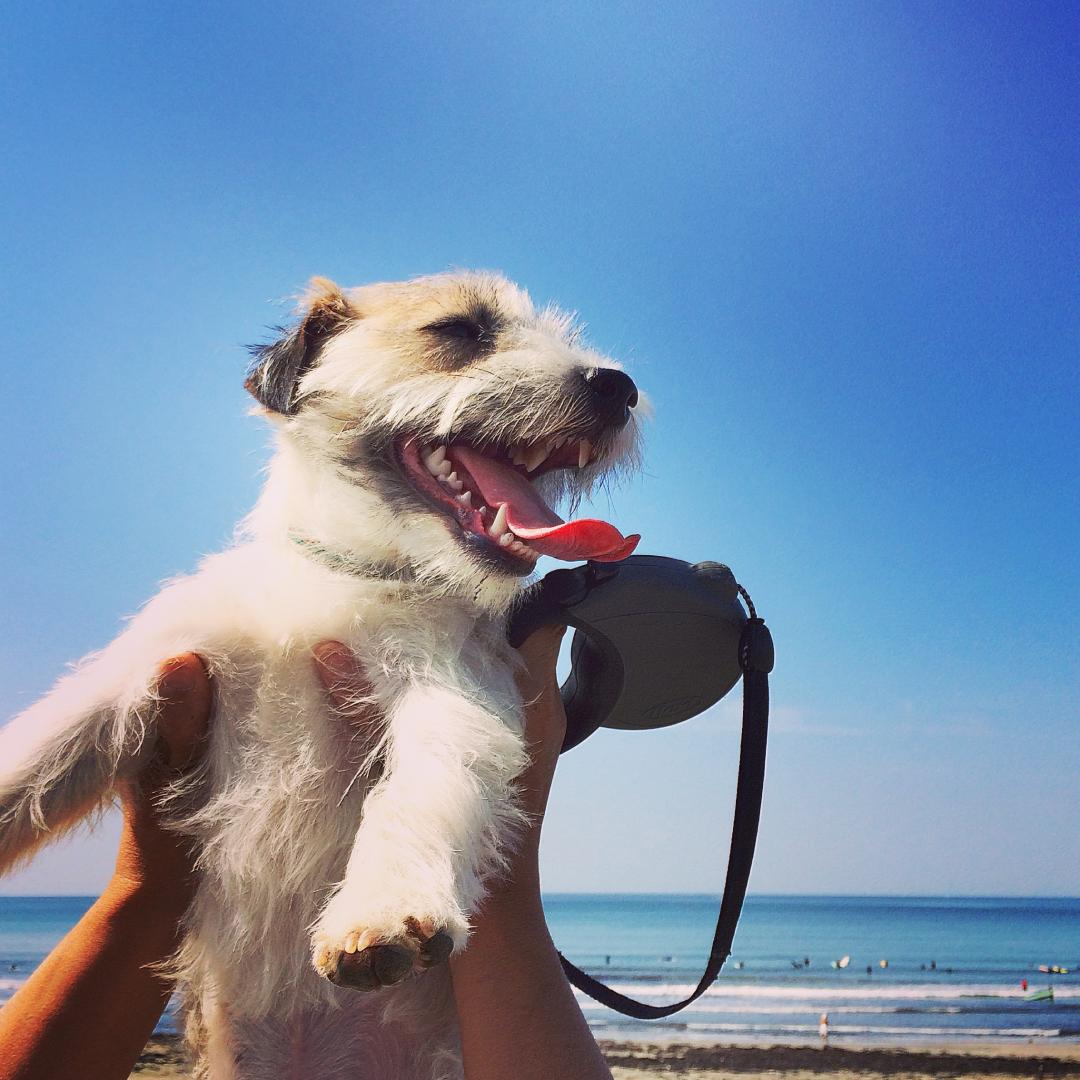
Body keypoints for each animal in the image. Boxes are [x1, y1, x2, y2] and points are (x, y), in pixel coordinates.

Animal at [0, 270, 639, 1080]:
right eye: (460, 330)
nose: (619, 386)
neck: (346, 572)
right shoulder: (143, 677)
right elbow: (37, 753)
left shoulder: (448, 693)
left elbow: (415, 789)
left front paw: (381, 910)